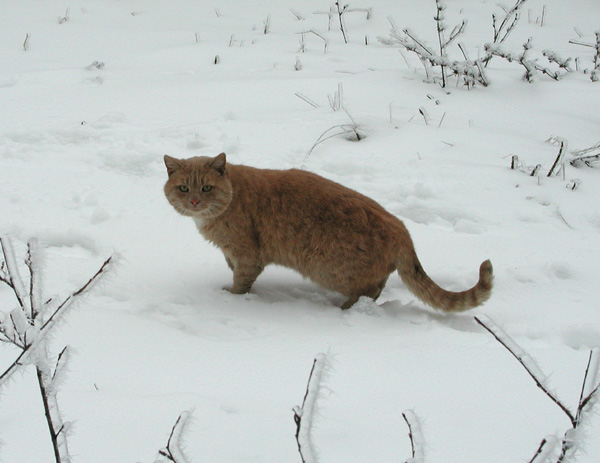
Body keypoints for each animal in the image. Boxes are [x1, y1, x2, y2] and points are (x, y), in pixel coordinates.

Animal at [164, 153, 492, 312]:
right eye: (184, 188)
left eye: (207, 188)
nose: (194, 201)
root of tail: (402, 228)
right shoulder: (231, 255)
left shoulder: (247, 256)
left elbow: (240, 281)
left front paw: (233, 299)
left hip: (331, 270)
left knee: (371, 291)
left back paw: (345, 310)